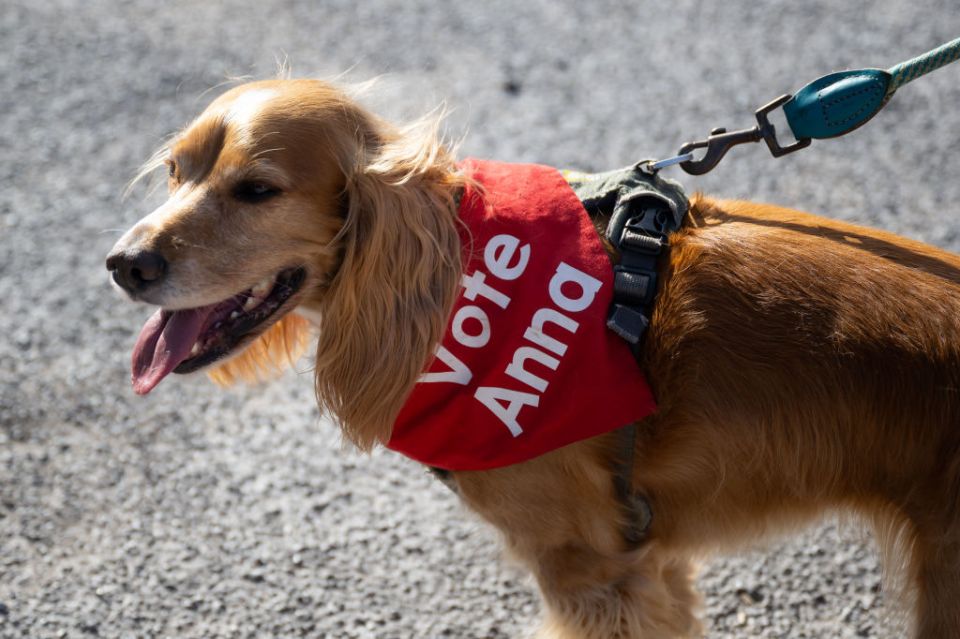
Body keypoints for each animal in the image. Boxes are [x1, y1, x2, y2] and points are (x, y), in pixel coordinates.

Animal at [105, 81, 960, 639]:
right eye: (177, 171)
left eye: (258, 189)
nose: (123, 264)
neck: (459, 285)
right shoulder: (649, 567)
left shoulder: (592, 570)